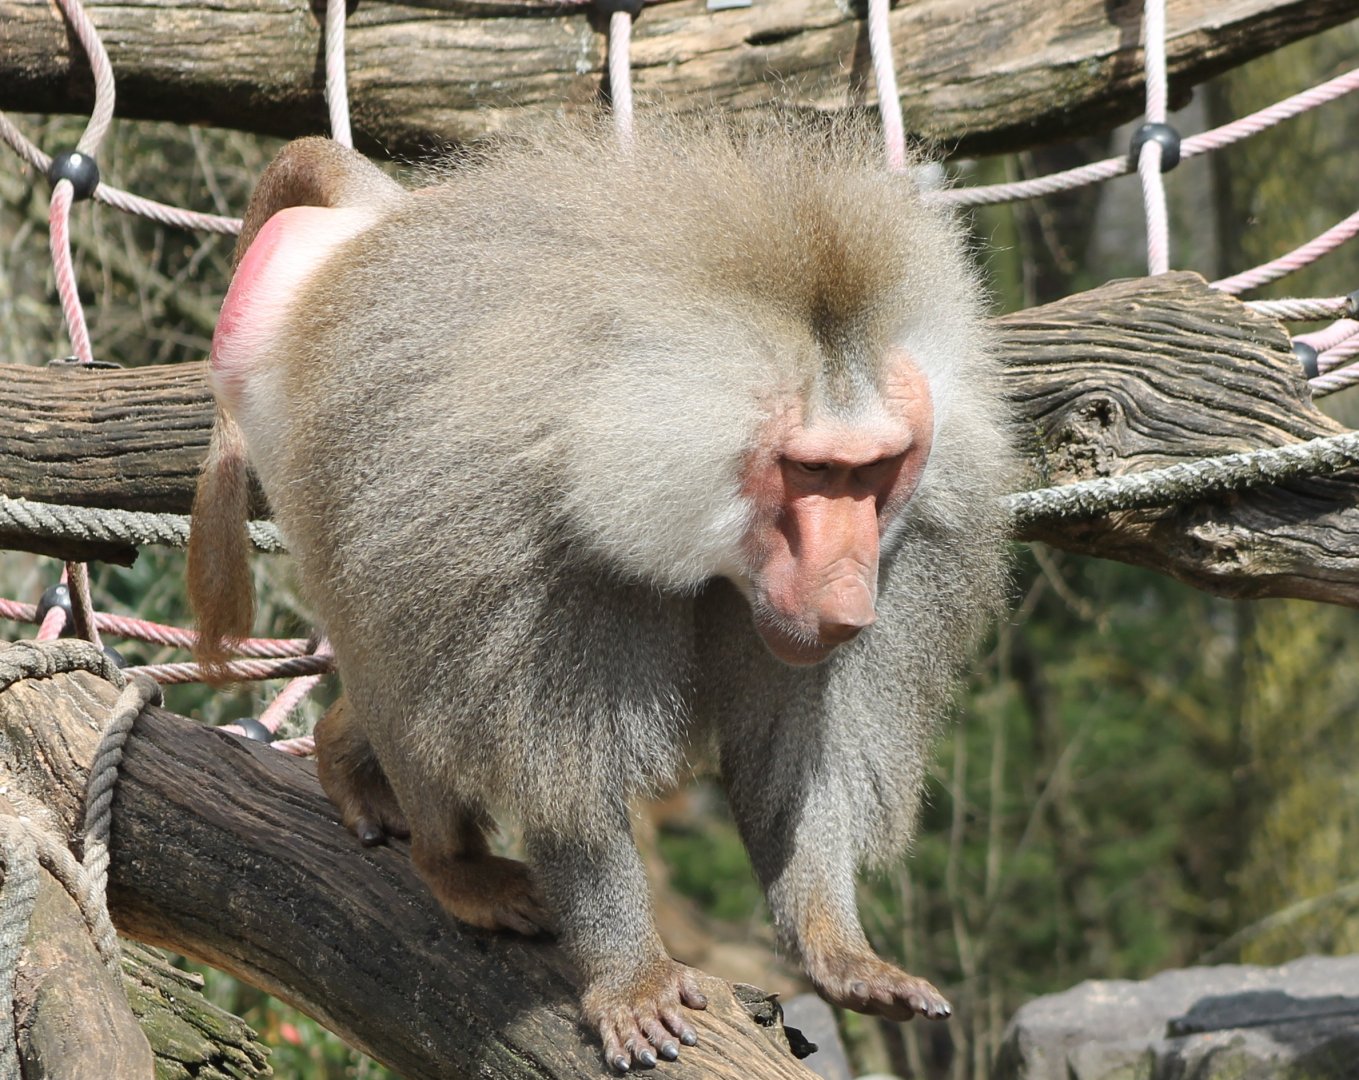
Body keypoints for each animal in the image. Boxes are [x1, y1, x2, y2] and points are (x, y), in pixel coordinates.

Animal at [187, 117, 1014, 1072]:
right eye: (810, 470)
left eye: (875, 469)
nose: (850, 604)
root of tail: (369, 224)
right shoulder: (535, 554)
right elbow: (563, 777)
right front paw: (631, 978)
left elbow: (789, 750)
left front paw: (832, 948)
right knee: (389, 648)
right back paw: (452, 867)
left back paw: (344, 756)